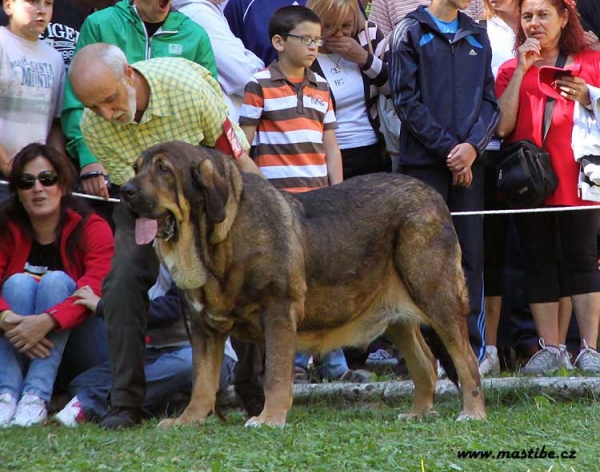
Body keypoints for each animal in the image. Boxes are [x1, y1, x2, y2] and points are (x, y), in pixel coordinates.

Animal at [122, 140, 488, 428]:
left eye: (163, 169)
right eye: (136, 167)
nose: (125, 190)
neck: (216, 242)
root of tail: (434, 197)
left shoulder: (278, 311)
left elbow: (275, 374)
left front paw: (269, 419)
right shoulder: (203, 329)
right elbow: (202, 381)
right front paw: (188, 420)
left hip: (437, 298)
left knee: (465, 359)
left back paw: (472, 413)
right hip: (395, 317)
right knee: (425, 364)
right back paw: (418, 414)